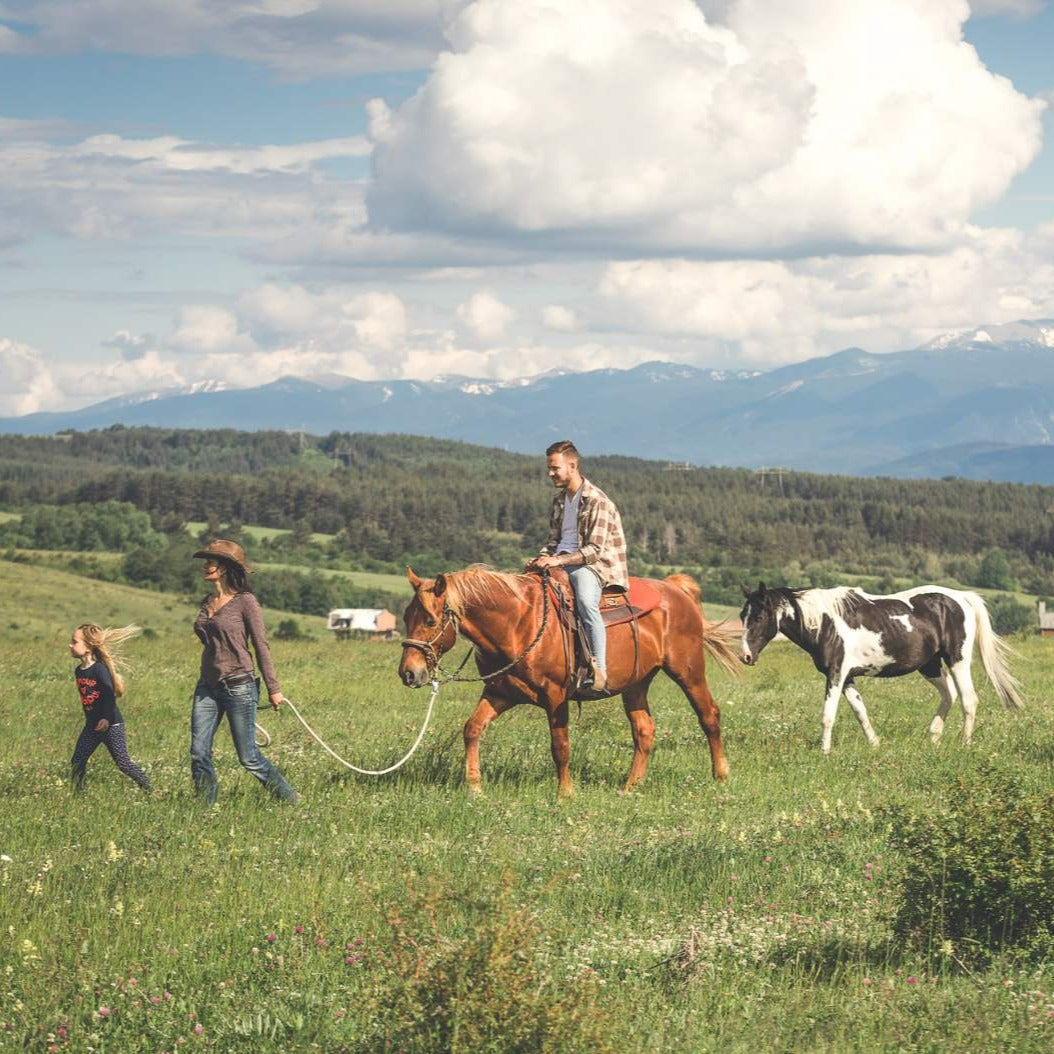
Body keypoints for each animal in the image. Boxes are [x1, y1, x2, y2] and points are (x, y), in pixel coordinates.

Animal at [398, 569, 737, 796]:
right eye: (405, 617)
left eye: (430, 620)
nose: (408, 673)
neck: (517, 624)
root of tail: (675, 589)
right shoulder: (500, 693)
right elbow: (472, 729)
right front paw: (474, 786)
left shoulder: (556, 695)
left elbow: (560, 746)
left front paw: (565, 793)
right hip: (636, 684)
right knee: (644, 730)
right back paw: (630, 786)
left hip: (688, 671)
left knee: (709, 715)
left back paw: (721, 774)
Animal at [737, 581, 1024, 754]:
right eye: (743, 615)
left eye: (759, 617)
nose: (745, 656)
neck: (825, 622)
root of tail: (962, 597)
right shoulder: (847, 678)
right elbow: (860, 711)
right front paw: (875, 744)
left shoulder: (836, 674)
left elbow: (827, 715)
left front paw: (824, 751)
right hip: (930, 665)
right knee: (949, 695)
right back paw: (933, 737)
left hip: (957, 659)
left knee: (968, 699)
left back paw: (964, 743)